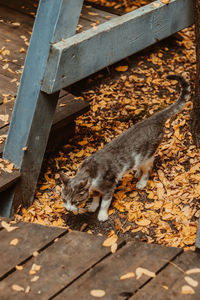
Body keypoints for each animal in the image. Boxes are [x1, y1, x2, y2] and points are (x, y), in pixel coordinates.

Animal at [60, 74, 191, 220]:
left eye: (75, 201)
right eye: (64, 200)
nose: (68, 208)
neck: (90, 172)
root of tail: (152, 119)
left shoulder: (109, 186)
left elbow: (105, 202)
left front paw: (102, 215)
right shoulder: (95, 189)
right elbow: (95, 198)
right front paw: (93, 207)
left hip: (148, 155)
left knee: (148, 168)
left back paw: (141, 182)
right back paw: (137, 172)